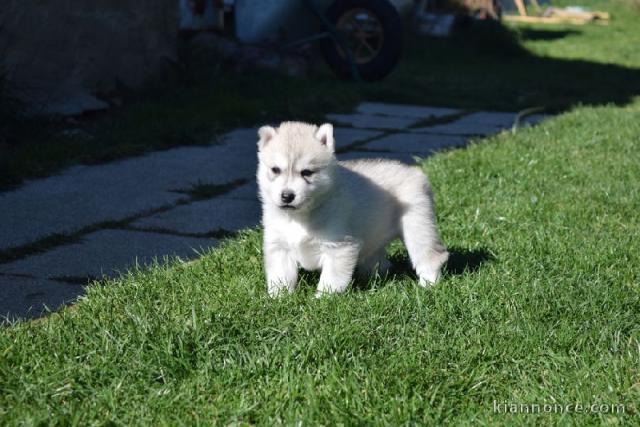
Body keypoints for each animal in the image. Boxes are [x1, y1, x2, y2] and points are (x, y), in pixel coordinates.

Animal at [256, 121, 450, 298]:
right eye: (275, 170)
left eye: (307, 172)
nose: (287, 196)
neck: (299, 217)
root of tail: (415, 171)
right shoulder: (279, 246)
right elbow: (280, 276)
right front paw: (278, 299)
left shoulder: (339, 247)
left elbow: (331, 279)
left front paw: (322, 300)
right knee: (379, 260)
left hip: (417, 226)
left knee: (430, 255)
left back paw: (428, 285)